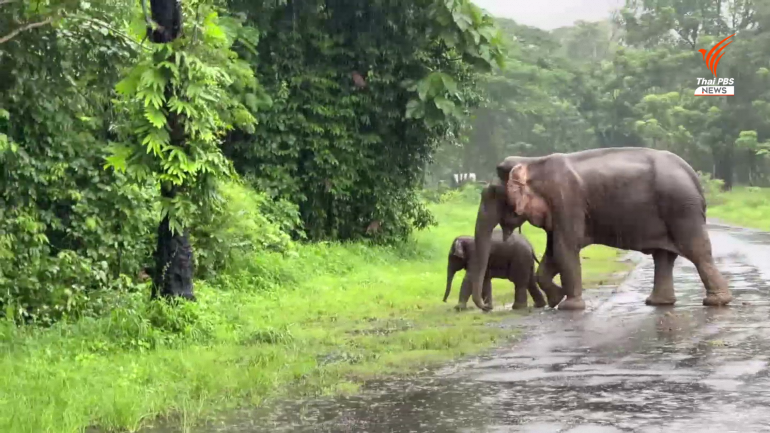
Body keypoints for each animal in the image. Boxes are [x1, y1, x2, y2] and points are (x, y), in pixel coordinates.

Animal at [462, 148, 732, 310]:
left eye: (492, 195)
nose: (487, 307)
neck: (533, 162)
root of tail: (693, 176)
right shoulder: (557, 212)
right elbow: (551, 255)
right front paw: (556, 298)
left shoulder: (566, 200)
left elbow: (564, 249)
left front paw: (569, 306)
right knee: (663, 257)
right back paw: (658, 303)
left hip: (681, 209)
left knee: (697, 251)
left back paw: (715, 302)